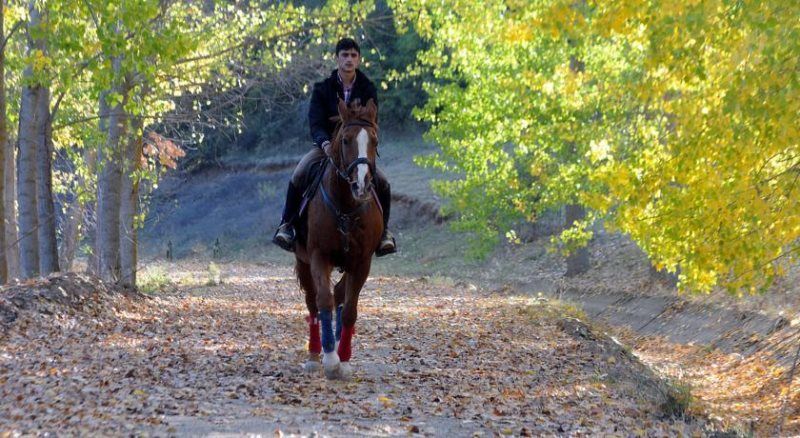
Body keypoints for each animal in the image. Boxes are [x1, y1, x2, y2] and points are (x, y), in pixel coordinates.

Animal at [294, 99, 384, 380]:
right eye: (345, 140)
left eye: (375, 140)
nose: (361, 185)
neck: (346, 205)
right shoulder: (317, 256)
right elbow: (323, 300)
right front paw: (331, 360)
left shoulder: (362, 262)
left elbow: (350, 310)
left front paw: (343, 359)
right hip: (302, 262)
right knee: (314, 303)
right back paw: (315, 354)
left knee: (340, 296)